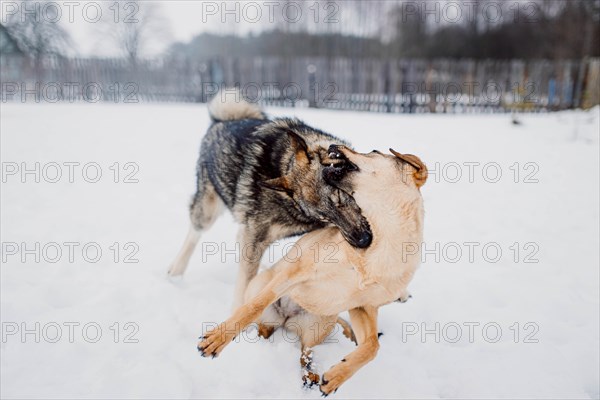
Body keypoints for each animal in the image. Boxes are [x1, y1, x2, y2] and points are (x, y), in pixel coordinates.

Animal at [169, 90, 370, 308]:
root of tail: (222, 120)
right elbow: (244, 285)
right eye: (325, 216)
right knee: (194, 233)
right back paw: (175, 272)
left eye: (342, 196)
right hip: (208, 210)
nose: (364, 240)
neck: (283, 164)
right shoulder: (255, 237)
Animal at [197, 145, 426, 396]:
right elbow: (254, 306)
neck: (379, 246)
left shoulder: (363, 307)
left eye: (374, 151)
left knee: (305, 351)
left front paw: (337, 376)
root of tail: (286, 319)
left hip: (322, 322)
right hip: (263, 287)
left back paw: (312, 375)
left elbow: (372, 346)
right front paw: (218, 338)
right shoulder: (297, 271)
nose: (334, 147)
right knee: (261, 322)